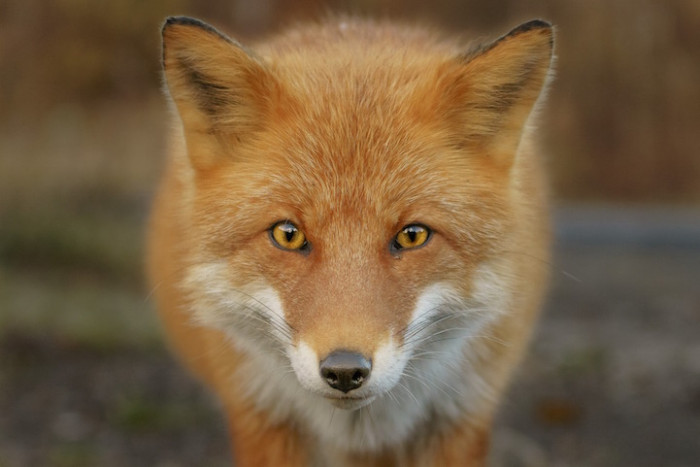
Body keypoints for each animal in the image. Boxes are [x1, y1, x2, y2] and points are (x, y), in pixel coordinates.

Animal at [148, 14, 554, 467]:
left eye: (412, 235)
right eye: (288, 235)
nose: (344, 371)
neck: (360, 432)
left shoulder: (463, 413)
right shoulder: (259, 414)